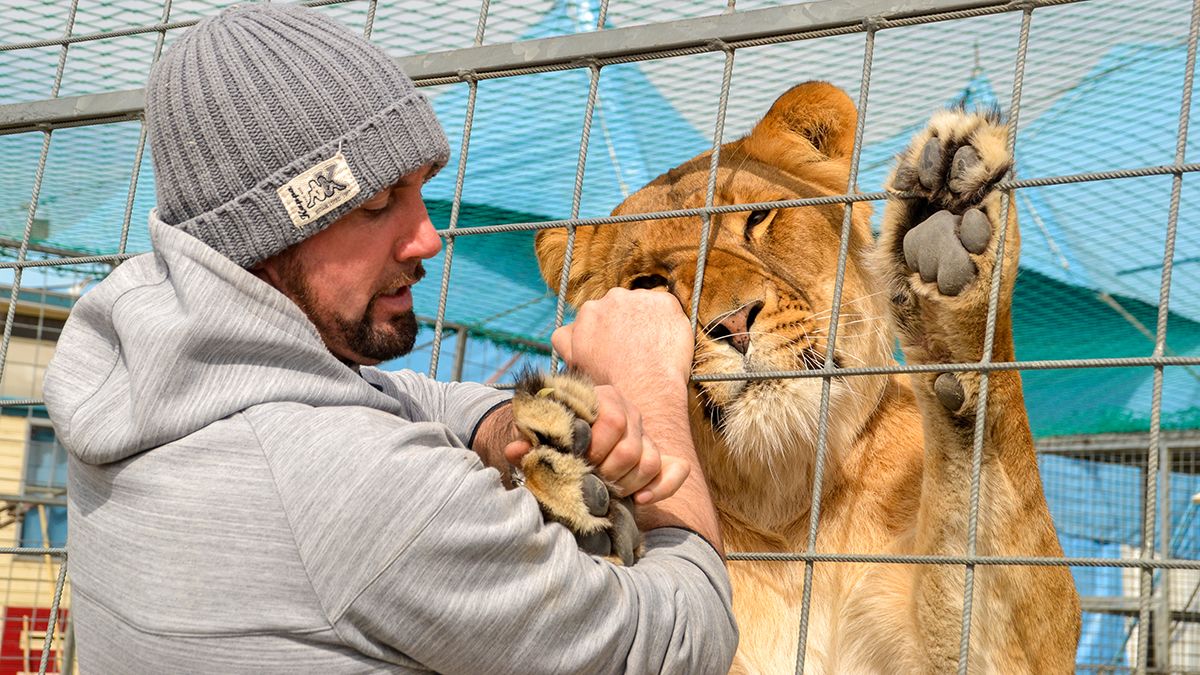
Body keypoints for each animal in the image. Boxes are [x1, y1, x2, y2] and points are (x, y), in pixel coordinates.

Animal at [513, 81, 1080, 667]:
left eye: (759, 218)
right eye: (647, 284)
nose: (734, 323)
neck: (785, 500)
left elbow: (993, 483)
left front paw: (949, 230)